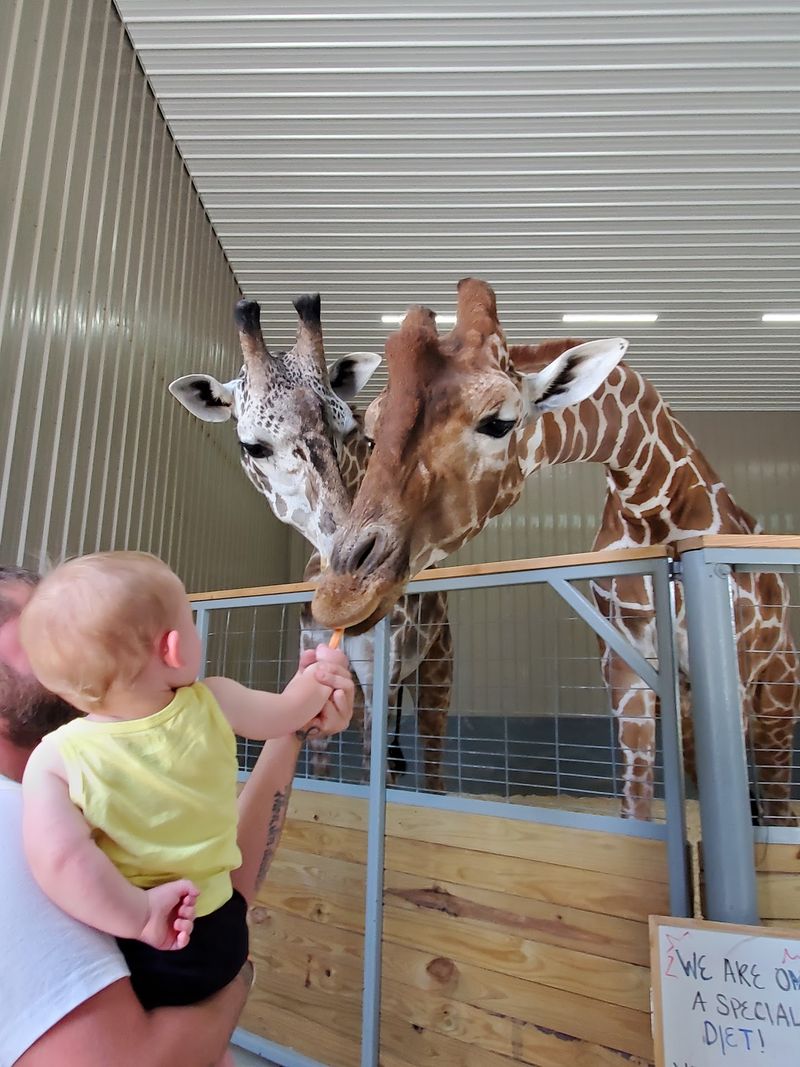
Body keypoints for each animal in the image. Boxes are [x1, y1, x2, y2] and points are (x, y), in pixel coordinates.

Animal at [170, 295, 452, 791]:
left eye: (344, 430)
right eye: (253, 446)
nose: (350, 574)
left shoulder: (381, 668)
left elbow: (375, 766)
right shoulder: (314, 653)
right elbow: (318, 764)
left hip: (435, 670)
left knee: (431, 761)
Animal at [313, 278, 798, 824]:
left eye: (499, 422)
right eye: (372, 435)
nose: (342, 593)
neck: (654, 509)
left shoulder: (731, 671)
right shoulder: (626, 671)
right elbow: (636, 809)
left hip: (777, 695)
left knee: (778, 805)